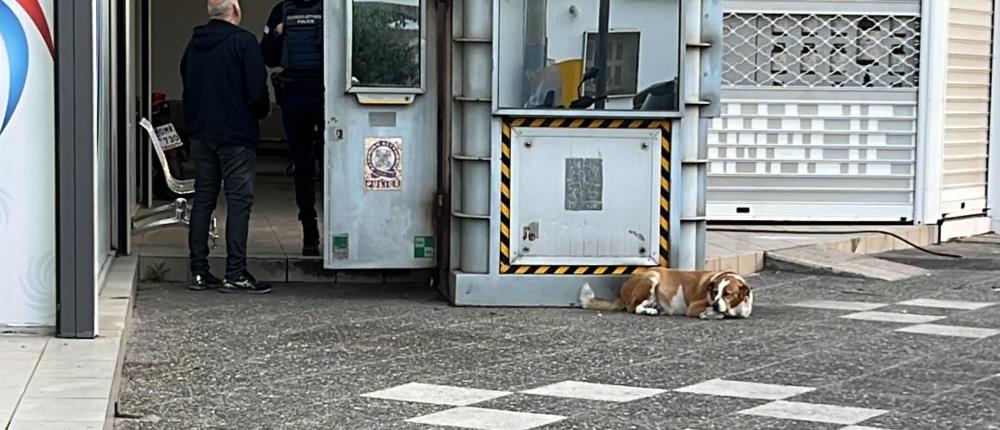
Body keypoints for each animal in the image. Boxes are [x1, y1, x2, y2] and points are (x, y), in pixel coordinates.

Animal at [580, 268, 752, 320]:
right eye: (715, 292)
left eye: (727, 293)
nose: (715, 304)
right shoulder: (694, 308)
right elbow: (718, 314)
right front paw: (710, 314)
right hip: (652, 278)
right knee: (634, 307)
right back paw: (649, 310)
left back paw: (656, 308)